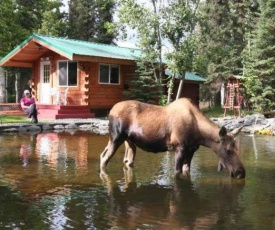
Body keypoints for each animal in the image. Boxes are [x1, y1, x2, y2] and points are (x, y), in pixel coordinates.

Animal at [100, 98, 247, 179]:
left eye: (237, 148)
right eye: (228, 150)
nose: (241, 172)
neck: (199, 135)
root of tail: (110, 111)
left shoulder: (191, 150)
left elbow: (186, 171)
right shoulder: (179, 148)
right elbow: (177, 172)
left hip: (129, 142)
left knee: (125, 161)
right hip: (116, 137)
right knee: (104, 157)